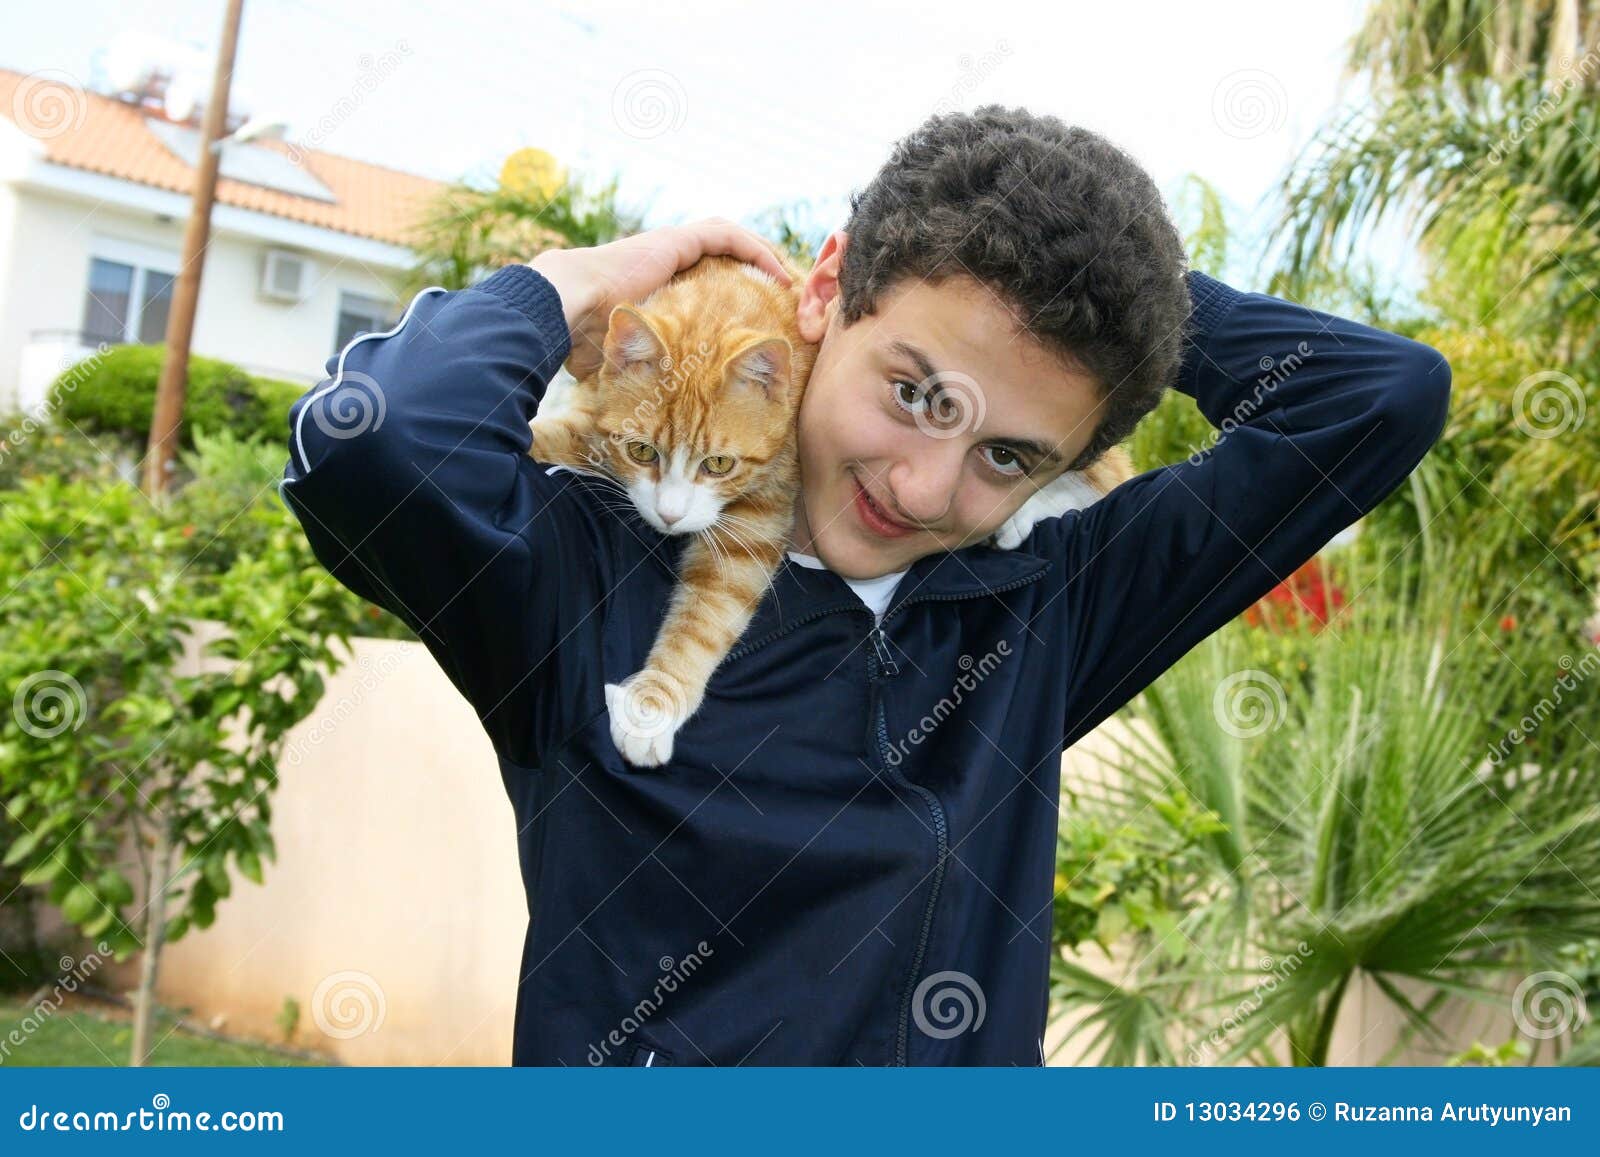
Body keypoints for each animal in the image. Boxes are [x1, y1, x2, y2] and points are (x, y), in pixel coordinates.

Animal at [534, 244, 1139, 768]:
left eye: (720, 464)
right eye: (642, 451)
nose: (669, 517)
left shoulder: (761, 516)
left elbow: (709, 613)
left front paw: (655, 706)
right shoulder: (592, 411)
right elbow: (558, 433)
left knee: (1096, 478)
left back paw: (1019, 518)